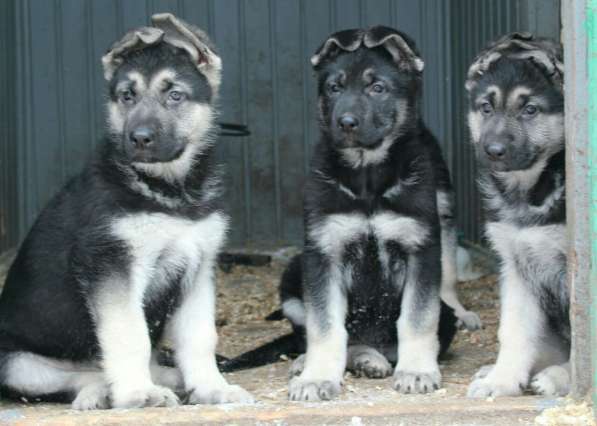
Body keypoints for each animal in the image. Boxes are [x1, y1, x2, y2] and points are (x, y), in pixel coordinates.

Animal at [0, 14, 251, 410]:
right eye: (126, 96)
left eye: (174, 94)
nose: (140, 138)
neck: (169, 191)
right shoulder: (112, 265)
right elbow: (128, 335)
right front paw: (137, 393)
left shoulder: (198, 269)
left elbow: (199, 337)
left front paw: (212, 387)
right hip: (17, 363)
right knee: (77, 376)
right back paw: (103, 391)